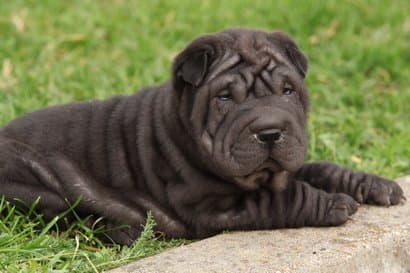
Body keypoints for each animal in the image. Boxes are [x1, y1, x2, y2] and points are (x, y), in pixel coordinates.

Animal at [0, 28, 404, 244]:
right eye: (225, 98)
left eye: (288, 91)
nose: (270, 131)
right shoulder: (211, 204)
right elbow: (285, 199)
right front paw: (334, 203)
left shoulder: (285, 165)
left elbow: (321, 169)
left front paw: (374, 185)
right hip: (39, 181)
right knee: (68, 215)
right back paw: (126, 231)